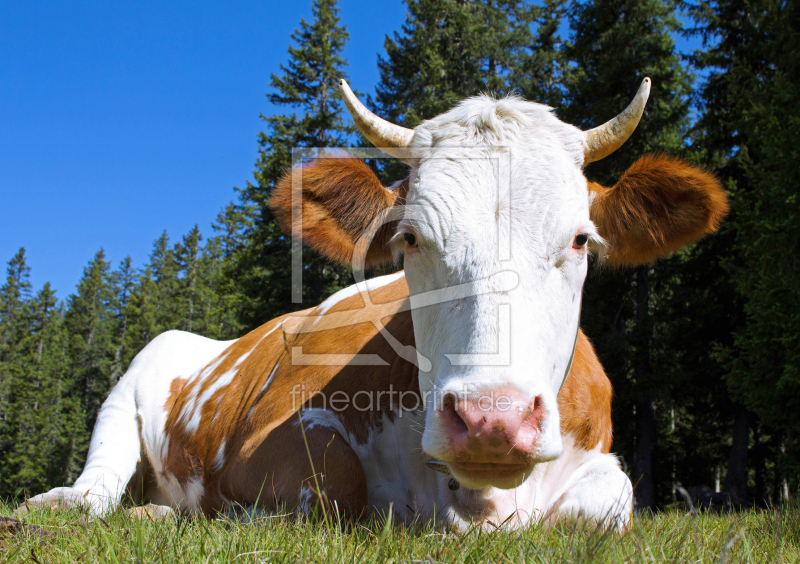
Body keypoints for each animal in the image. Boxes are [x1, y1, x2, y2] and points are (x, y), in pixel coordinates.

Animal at [25, 79, 728, 528]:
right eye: (411, 237)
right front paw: (215, 514)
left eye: (581, 239)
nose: (491, 418)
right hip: (129, 384)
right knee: (99, 481)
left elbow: (611, 502)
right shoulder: (273, 431)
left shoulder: (598, 461)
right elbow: (331, 488)